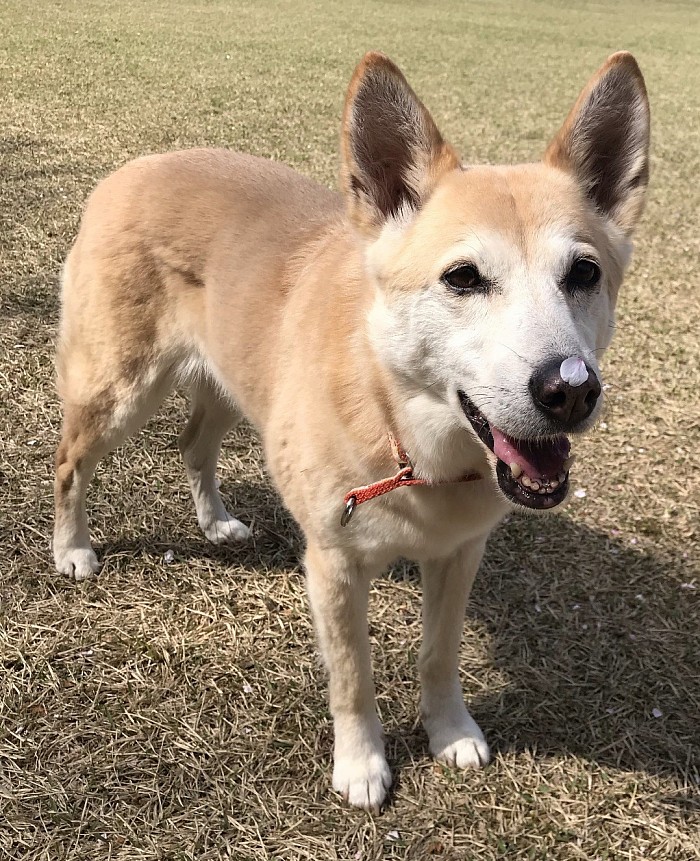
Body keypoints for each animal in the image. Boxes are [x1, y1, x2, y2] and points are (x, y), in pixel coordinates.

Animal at [53, 52, 652, 808]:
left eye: (584, 273)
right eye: (463, 277)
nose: (569, 389)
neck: (406, 436)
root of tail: (134, 167)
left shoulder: (459, 554)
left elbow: (439, 655)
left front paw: (451, 732)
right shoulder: (334, 564)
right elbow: (352, 677)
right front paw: (362, 764)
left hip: (234, 382)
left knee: (193, 446)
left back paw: (216, 522)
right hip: (120, 390)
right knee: (69, 463)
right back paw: (72, 549)